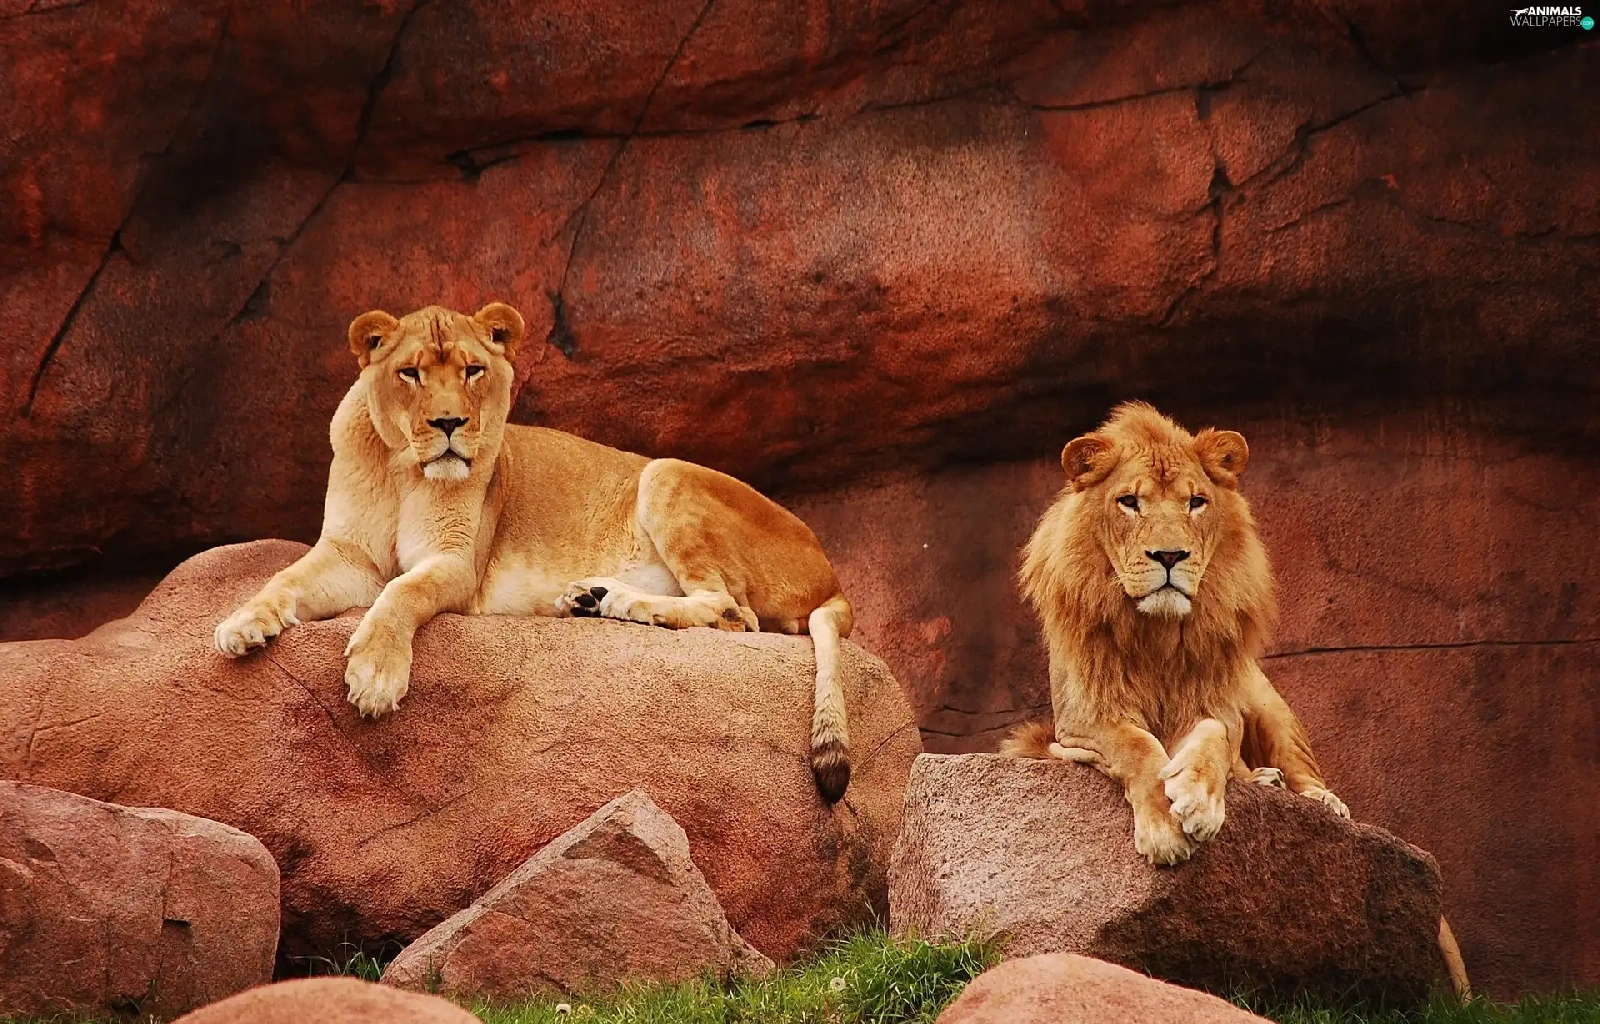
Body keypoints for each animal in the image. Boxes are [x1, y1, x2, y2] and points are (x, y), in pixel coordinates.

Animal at [213, 302, 857, 802]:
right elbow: (283, 579)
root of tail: (831, 576)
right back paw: (589, 597)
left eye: (472, 370)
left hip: (667, 473)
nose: (449, 423)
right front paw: (242, 624)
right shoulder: (349, 556)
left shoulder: (457, 565)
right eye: (410, 373)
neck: (402, 469)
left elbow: (402, 592)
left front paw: (375, 673)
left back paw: (612, 600)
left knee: (731, 611)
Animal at [1000, 402, 1469, 996]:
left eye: (1195, 502)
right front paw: (1165, 828)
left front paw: (1199, 800)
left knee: (1303, 771)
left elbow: (1214, 735)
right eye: (1129, 501)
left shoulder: (1218, 703)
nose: (1170, 555)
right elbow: (1137, 746)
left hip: (1267, 697)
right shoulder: (1081, 721)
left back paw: (1315, 799)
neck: (1156, 633)